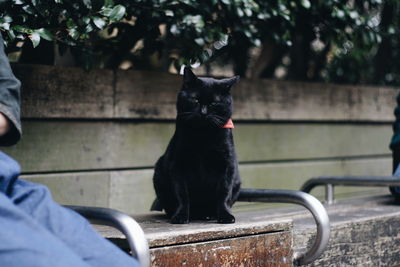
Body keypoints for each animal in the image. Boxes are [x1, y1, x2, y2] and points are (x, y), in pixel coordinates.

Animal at [152, 67, 241, 224]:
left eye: (214, 103)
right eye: (195, 100)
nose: (203, 112)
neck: (202, 136)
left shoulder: (227, 164)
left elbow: (223, 193)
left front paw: (225, 215)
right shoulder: (178, 164)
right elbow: (182, 195)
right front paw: (180, 216)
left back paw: (210, 215)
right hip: (159, 174)